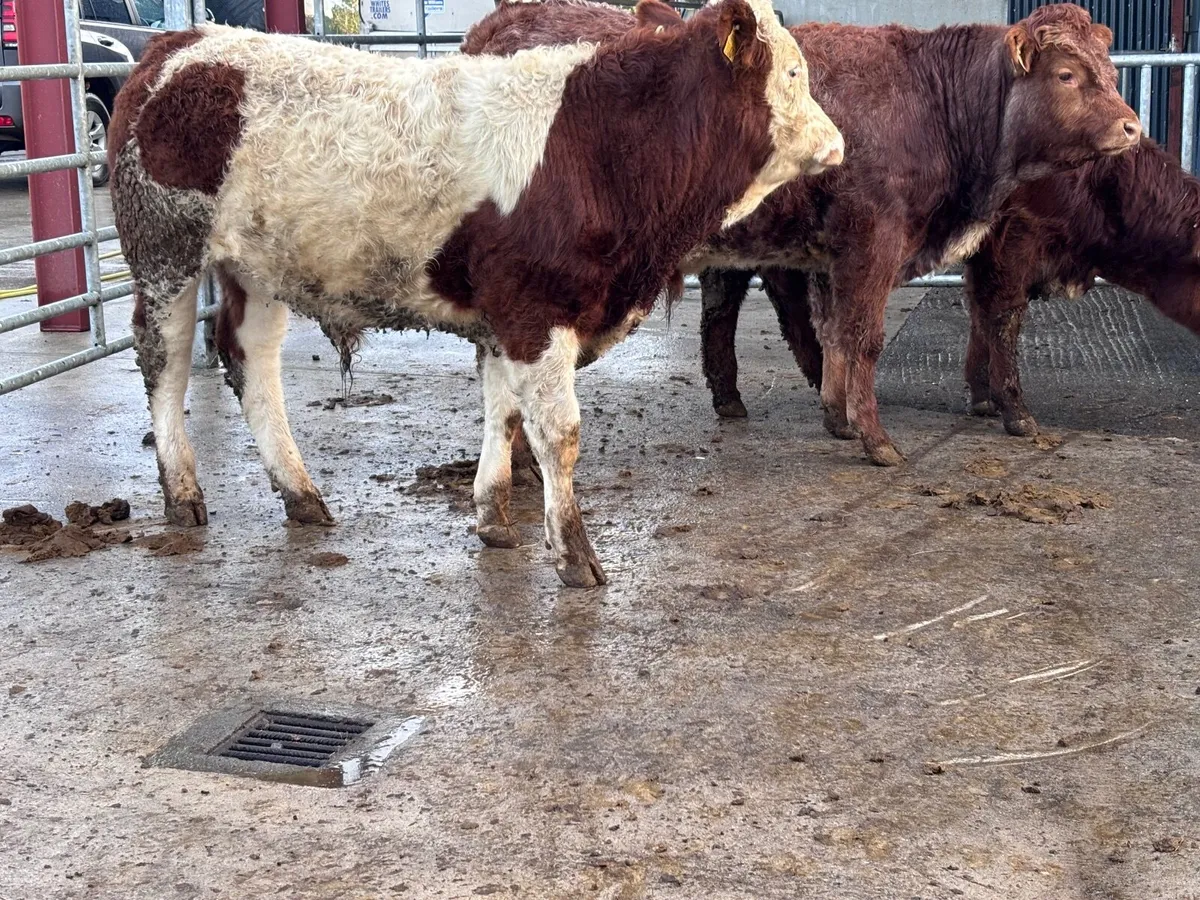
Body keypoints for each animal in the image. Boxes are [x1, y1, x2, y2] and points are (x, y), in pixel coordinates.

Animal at [109, 1, 844, 588]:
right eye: (793, 75)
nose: (839, 144)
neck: (599, 145)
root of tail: (184, 42)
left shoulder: (507, 317)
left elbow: (505, 415)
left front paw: (494, 516)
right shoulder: (534, 310)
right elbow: (557, 433)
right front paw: (573, 553)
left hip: (259, 268)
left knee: (251, 360)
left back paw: (300, 492)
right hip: (165, 251)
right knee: (165, 360)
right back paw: (182, 490)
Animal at [963, 138, 1200, 437]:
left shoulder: (984, 250)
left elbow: (980, 312)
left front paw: (982, 396)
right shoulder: (1016, 238)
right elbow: (1004, 315)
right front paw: (1015, 411)